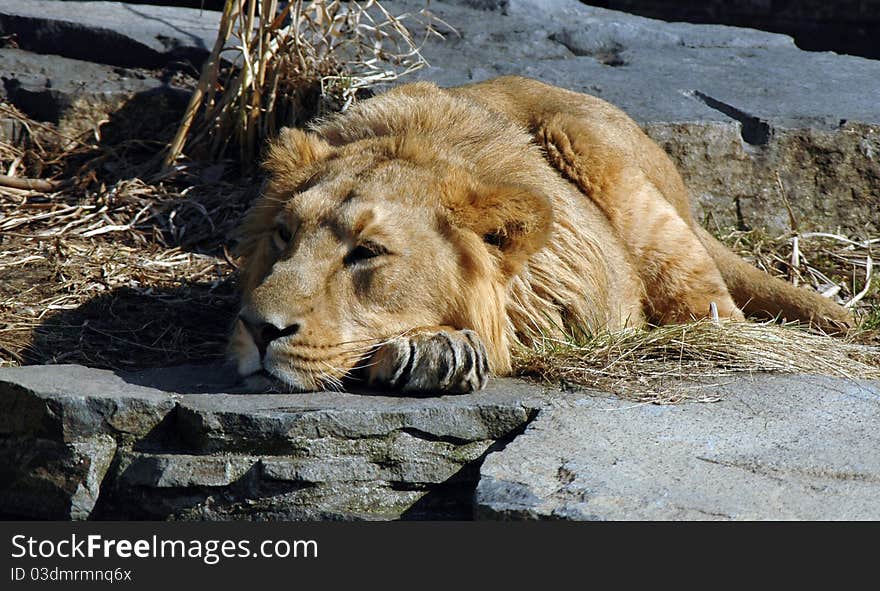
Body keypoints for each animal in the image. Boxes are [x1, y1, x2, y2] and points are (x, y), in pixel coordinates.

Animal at [229, 76, 852, 396]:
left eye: (367, 253)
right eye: (283, 234)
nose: (259, 330)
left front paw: (435, 348)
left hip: (582, 140)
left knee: (720, 316)